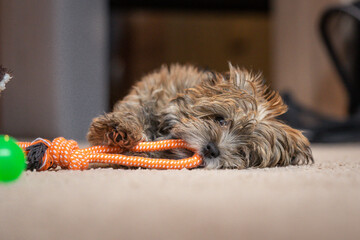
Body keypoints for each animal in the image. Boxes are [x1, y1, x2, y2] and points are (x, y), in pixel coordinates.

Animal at [87, 63, 312, 169]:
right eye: (220, 120)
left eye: (244, 152)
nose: (212, 149)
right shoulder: (149, 94)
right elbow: (135, 110)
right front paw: (119, 129)